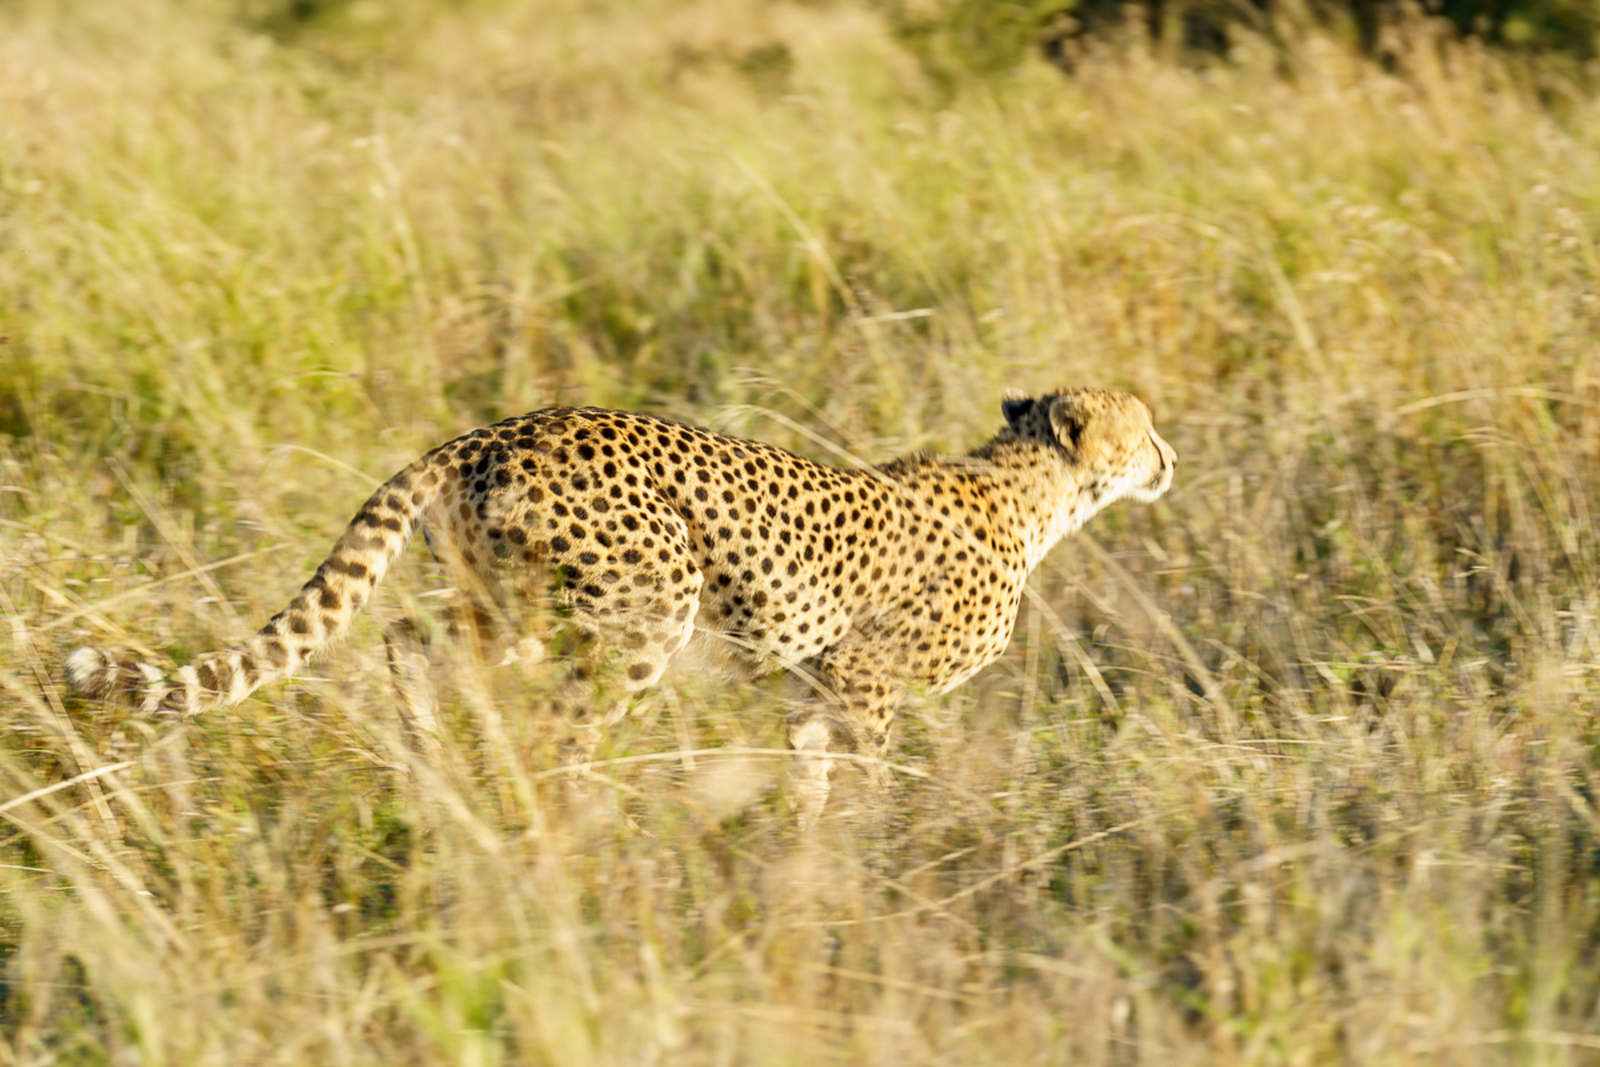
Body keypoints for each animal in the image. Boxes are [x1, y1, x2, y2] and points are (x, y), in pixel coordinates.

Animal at [66, 386, 1177, 826]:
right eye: (1143, 425)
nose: (1170, 457)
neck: (1034, 494)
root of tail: (496, 427)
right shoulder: (865, 675)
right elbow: (867, 778)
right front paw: (876, 860)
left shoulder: (816, 683)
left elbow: (812, 774)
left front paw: (810, 859)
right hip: (641, 611)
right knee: (558, 726)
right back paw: (570, 817)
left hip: (512, 599)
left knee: (412, 638)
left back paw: (430, 756)